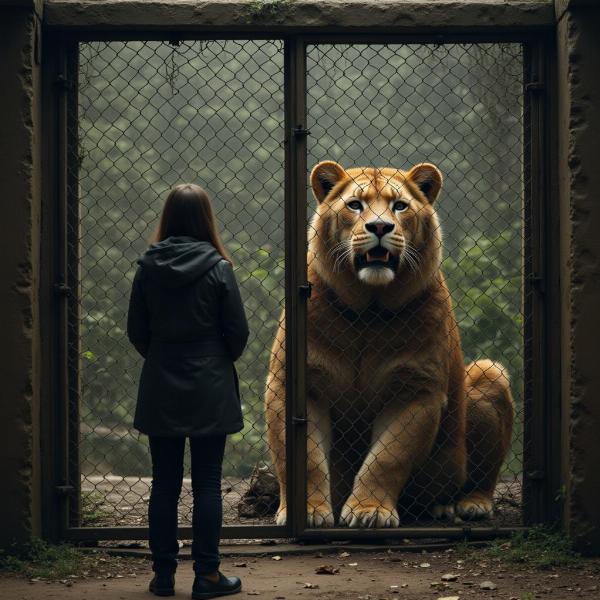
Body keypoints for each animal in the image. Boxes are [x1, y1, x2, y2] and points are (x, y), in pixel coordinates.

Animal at [264, 162, 512, 528]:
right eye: (355, 205)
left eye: (400, 206)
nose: (380, 226)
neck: (369, 311)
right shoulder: (294, 383)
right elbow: (304, 458)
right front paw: (307, 511)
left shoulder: (416, 389)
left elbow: (387, 457)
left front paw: (370, 511)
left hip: (488, 376)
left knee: (479, 478)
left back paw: (465, 505)